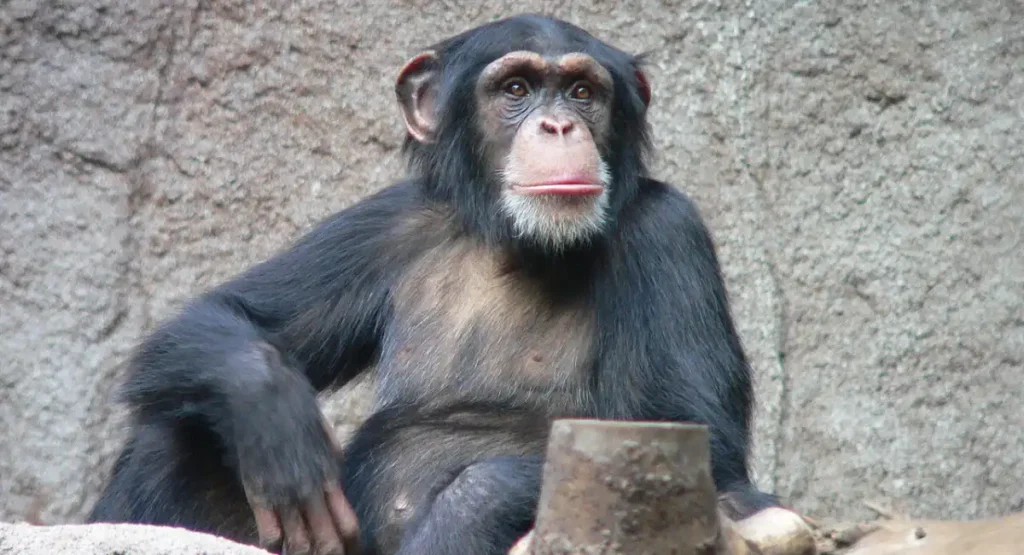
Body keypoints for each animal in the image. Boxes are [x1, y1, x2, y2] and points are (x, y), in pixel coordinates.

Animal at [88, 14, 779, 555]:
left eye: (583, 91)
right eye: (516, 88)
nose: (558, 127)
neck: (516, 242)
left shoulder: (670, 234)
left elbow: (704, 454)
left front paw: (470, 509)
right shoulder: (388, 221)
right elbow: (230, 316)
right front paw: (272, 413)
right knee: (176, 432)